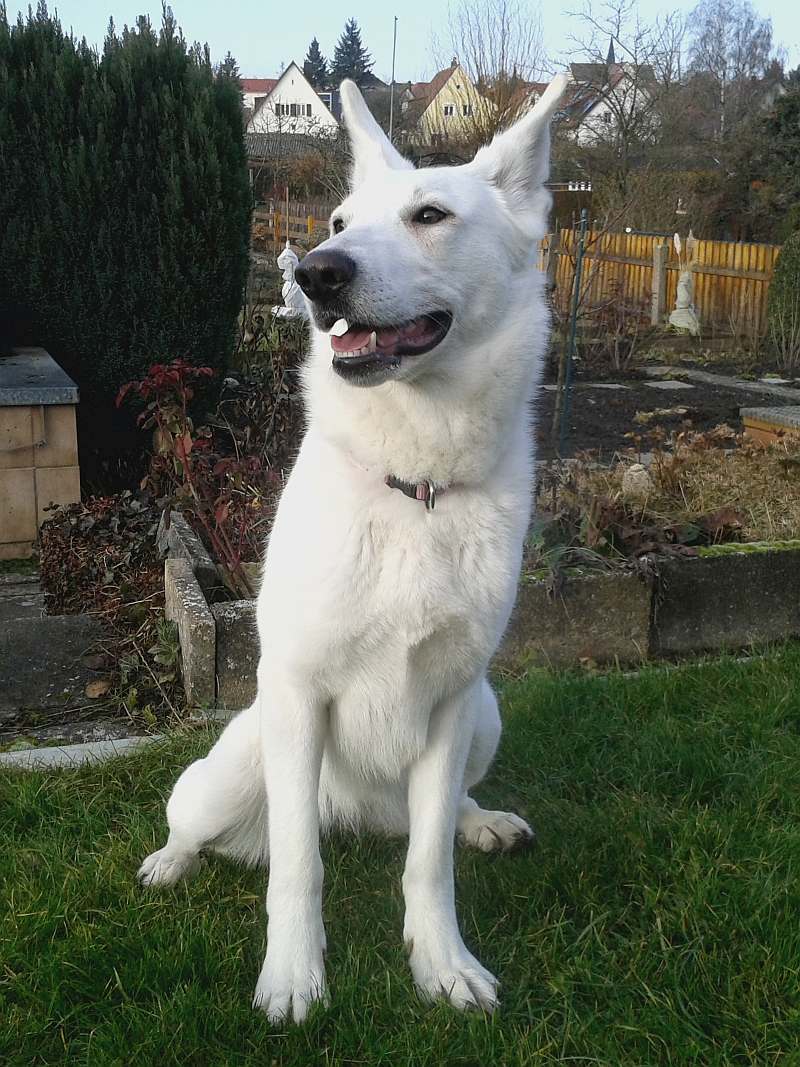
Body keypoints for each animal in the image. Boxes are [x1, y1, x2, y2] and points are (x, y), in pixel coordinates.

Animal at [140, 75, 571, 1024]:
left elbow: (429, 864)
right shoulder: (299, 692)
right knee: (203, 820)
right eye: (338, 220)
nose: (317, 274)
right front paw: (293, 976)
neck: (414, 484)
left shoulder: (451, 703)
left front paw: (442, 962)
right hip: (238, 762)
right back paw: (169, 861)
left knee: (424, 823)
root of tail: (359, 810)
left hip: (487, 715)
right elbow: (298, 868)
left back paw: (480, 820)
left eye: (430, 214)